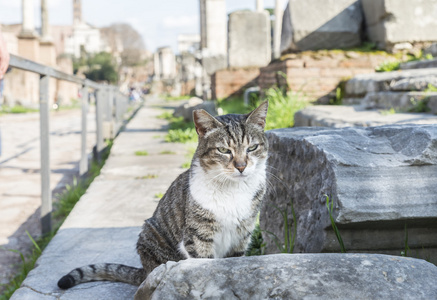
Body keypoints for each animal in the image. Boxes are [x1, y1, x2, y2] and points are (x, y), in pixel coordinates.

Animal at [57, 102, 270, 290]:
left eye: (252, 148)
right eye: (224, 150)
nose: (241, 166)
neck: (233, 189)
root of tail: (144, 271)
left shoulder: (241, 235)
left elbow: (233, 262)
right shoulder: (198, 237)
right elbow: (204, 265)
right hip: (151, 235)